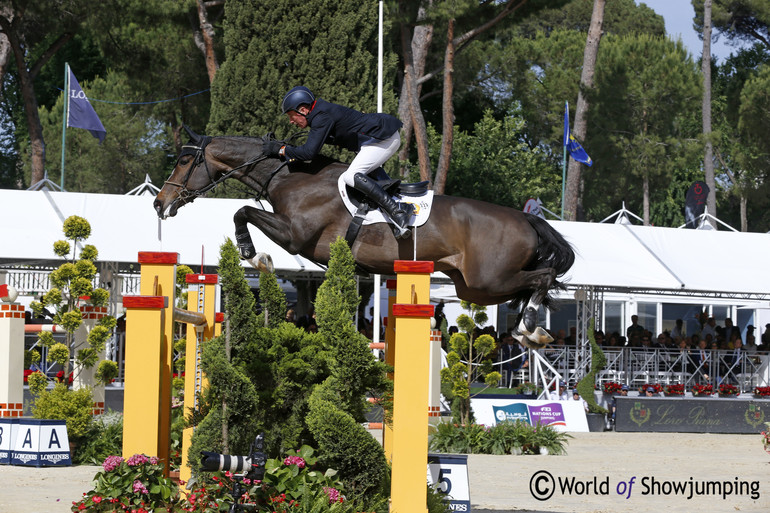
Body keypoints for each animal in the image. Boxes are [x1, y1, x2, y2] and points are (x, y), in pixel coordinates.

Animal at [153, 127, 572, 348]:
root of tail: (526, 218)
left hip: (487, 280)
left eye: (185, 161)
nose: (160, 203)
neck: (288, 176)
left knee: (542, 277)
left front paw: (254, 255)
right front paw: (256, 256)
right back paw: (530, 330)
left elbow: (242, 212)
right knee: (530, 283)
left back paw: (530, 327)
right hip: (473, 287)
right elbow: (243, 211)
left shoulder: (295, 236)